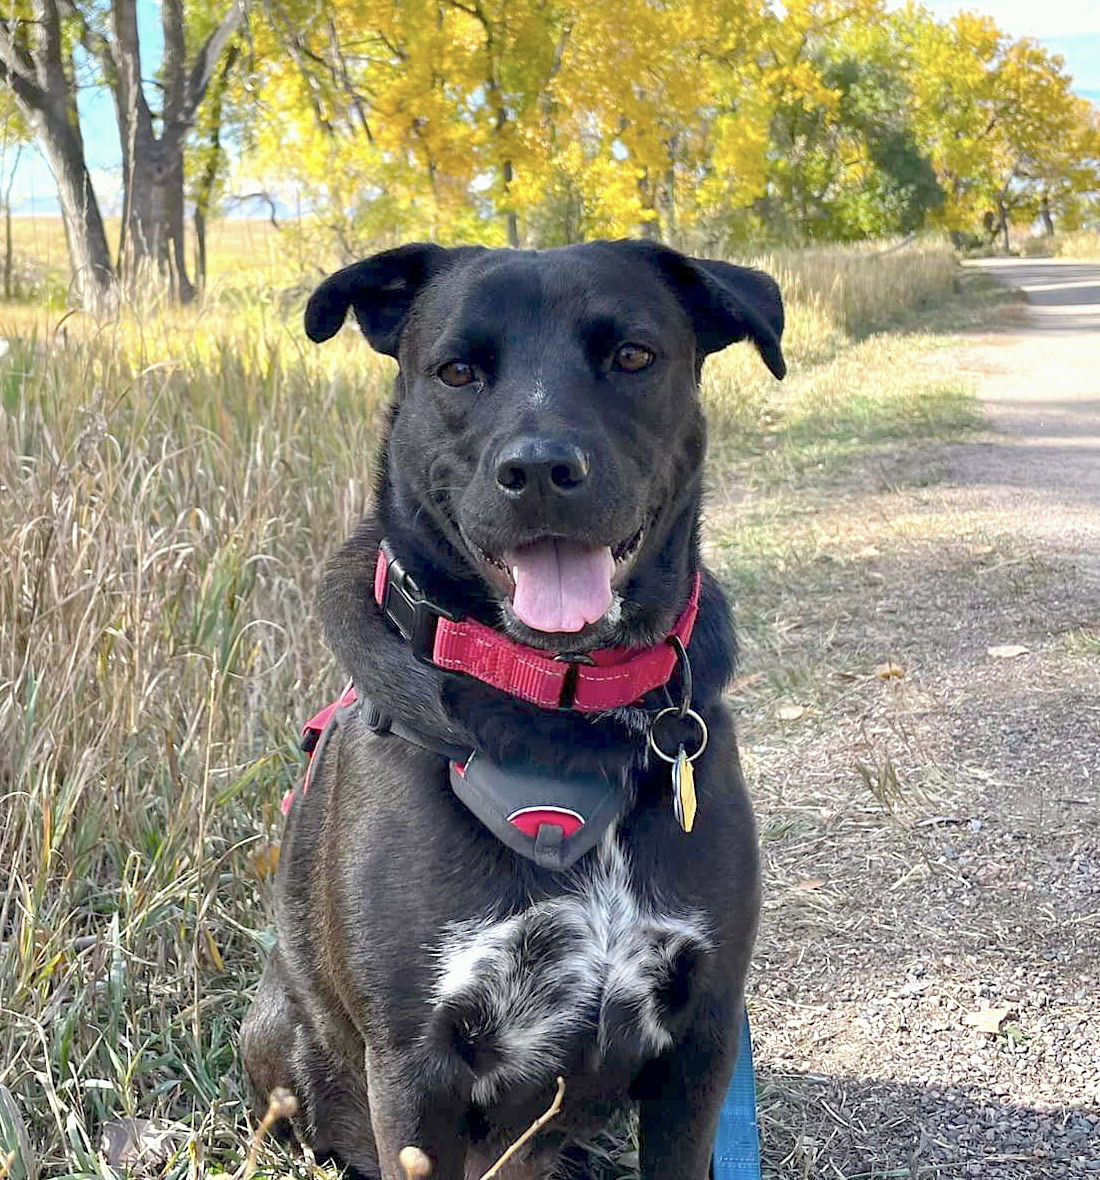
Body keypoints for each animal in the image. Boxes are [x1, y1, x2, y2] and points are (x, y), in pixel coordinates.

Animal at [245, 241, 788, 1180]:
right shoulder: (415, 1066)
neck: (559, 706)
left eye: (633, 356)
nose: (538, 470)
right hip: (276, 1029)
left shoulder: (704, 1034)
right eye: (457, 371)